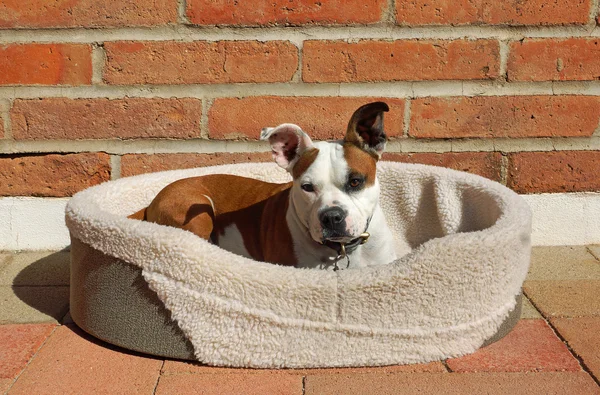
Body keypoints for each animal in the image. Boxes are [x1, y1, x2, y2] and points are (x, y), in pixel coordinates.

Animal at [129, 100, 396, 270]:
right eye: (307, 187)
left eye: (355, 181)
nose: (331, 217)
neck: (341, 251)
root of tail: (154, 200)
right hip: (197, 213)